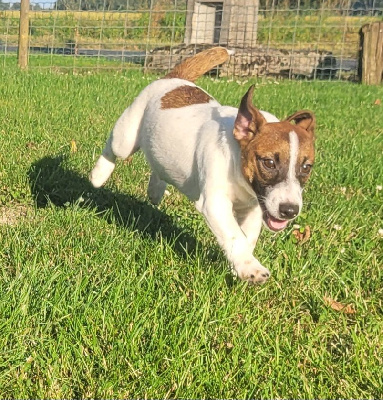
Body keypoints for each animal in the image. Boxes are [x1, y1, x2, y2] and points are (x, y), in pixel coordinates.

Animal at [90, 47, 316, 284]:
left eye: (306, 167)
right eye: (269, 162)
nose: (290, 211)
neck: (236, 162)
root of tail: (175, 78)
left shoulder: (256, 207)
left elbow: (247, 237)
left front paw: (240, 264)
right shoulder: (215, 203)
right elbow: (234, 235)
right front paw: (249, 267)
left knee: (158, 166)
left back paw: (155, 190)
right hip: (126, 138)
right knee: (113, 147)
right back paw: (98, 175)